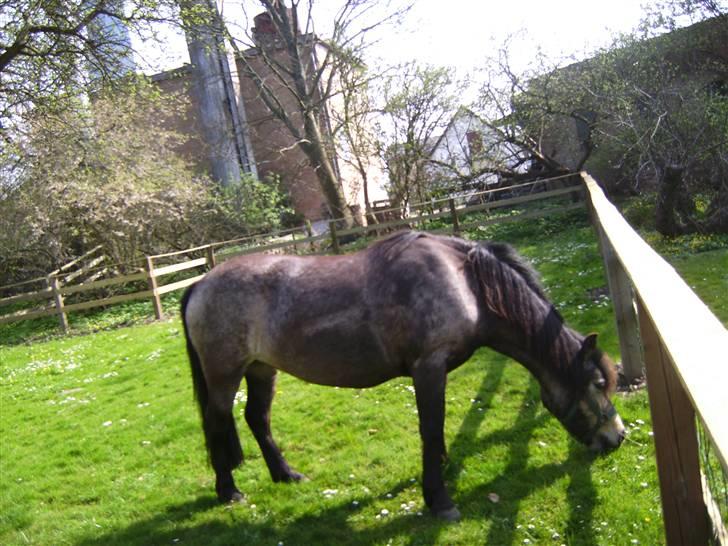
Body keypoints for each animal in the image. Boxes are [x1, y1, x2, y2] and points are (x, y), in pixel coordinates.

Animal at [180, 230, 625, 521]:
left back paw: (286, 475)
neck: (466, 283)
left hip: (261, 369)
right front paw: (439, 499)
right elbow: (430, 428)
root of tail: (200, 284)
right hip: (224, 375)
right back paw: (229, 491)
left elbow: (437, 432)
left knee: (257, 418)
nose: (617, 436)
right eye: (599, 384)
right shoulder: (428, 367)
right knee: (217, 423)